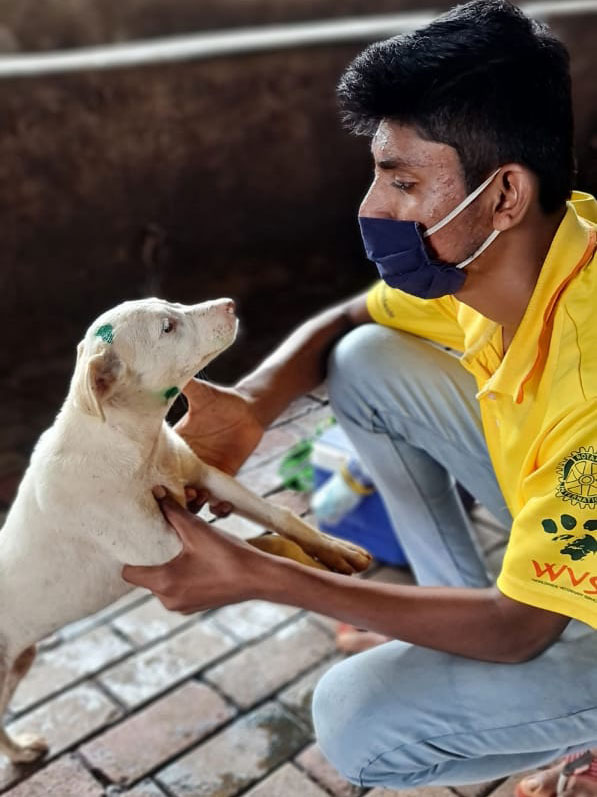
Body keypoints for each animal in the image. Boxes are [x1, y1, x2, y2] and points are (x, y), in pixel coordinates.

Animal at [0, 296, 372, 760]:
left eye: (170, 304)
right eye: (167, 327)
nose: (230, 304)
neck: (131, 443)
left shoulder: (204, 476)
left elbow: (276, 518)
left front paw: (335, 549)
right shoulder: (165, 548)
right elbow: (252, 550)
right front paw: (315, 571)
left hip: (20, 661)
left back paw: (20, 750)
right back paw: (20, 753)